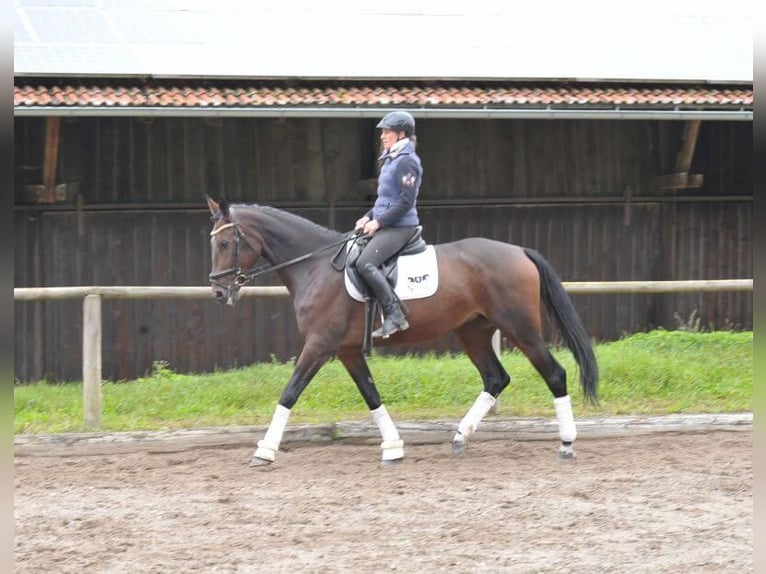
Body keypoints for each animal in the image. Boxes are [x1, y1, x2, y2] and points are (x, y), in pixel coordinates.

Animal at [207, 198, 604, 468]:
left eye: (225, 244)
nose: (218, 292)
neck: (316, 266)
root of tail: (519, 251)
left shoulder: (319, 346)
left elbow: (289, 393)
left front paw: (264, 450)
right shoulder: (347, 351)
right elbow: (371, 395)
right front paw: (394, 447)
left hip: (520, 328)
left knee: (554, 373)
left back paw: (566, 443)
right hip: (473, 332)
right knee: (495, 378)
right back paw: (460, 438)